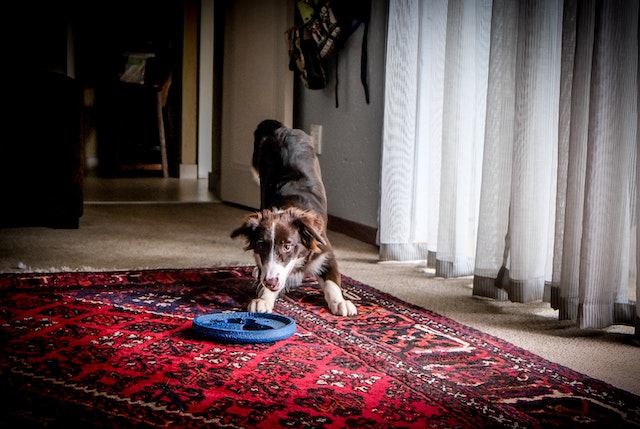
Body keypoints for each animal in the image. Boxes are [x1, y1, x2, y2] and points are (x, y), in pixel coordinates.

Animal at [232, 118, 358, 316]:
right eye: (260, 246)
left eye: (287, 246)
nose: (270, 282)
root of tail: (284, 129)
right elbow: (265, 272)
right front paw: (263, 298)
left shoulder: (325, 253)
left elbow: (332, 282)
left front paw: (340, 302)